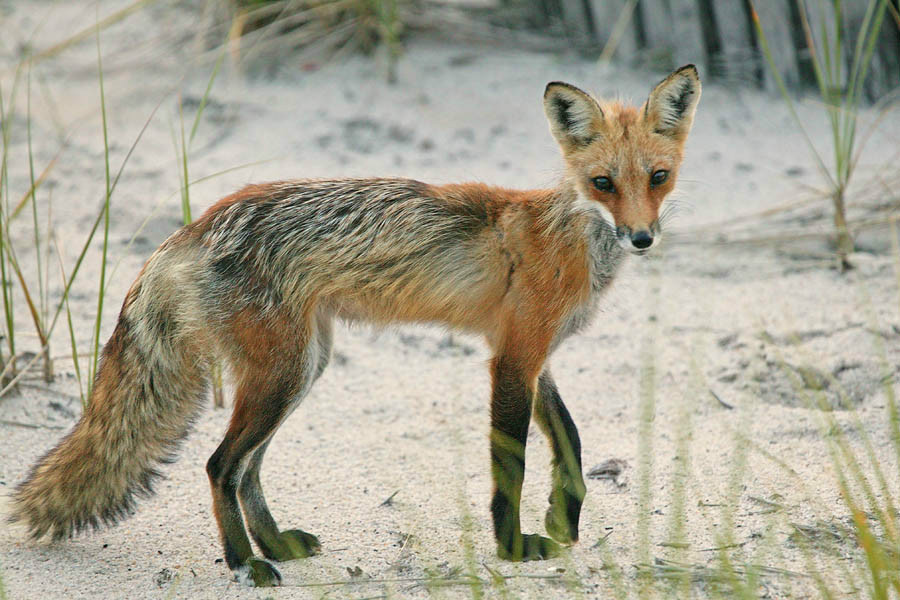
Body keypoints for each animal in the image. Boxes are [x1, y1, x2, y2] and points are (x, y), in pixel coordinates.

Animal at [10, 64, 700, 584]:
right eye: (603, 183)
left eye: (658, 178)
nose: (641, 238)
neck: (568, 240)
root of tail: (198, 224)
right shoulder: (512, 359)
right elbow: (513, 467)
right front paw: (513, 549)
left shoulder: (535, 356)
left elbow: (572, 443)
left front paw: (564, 521)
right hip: (281, 377)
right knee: (218, 466)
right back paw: (243, 564)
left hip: (300, 371)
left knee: (247, 469)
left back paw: (274, 546)